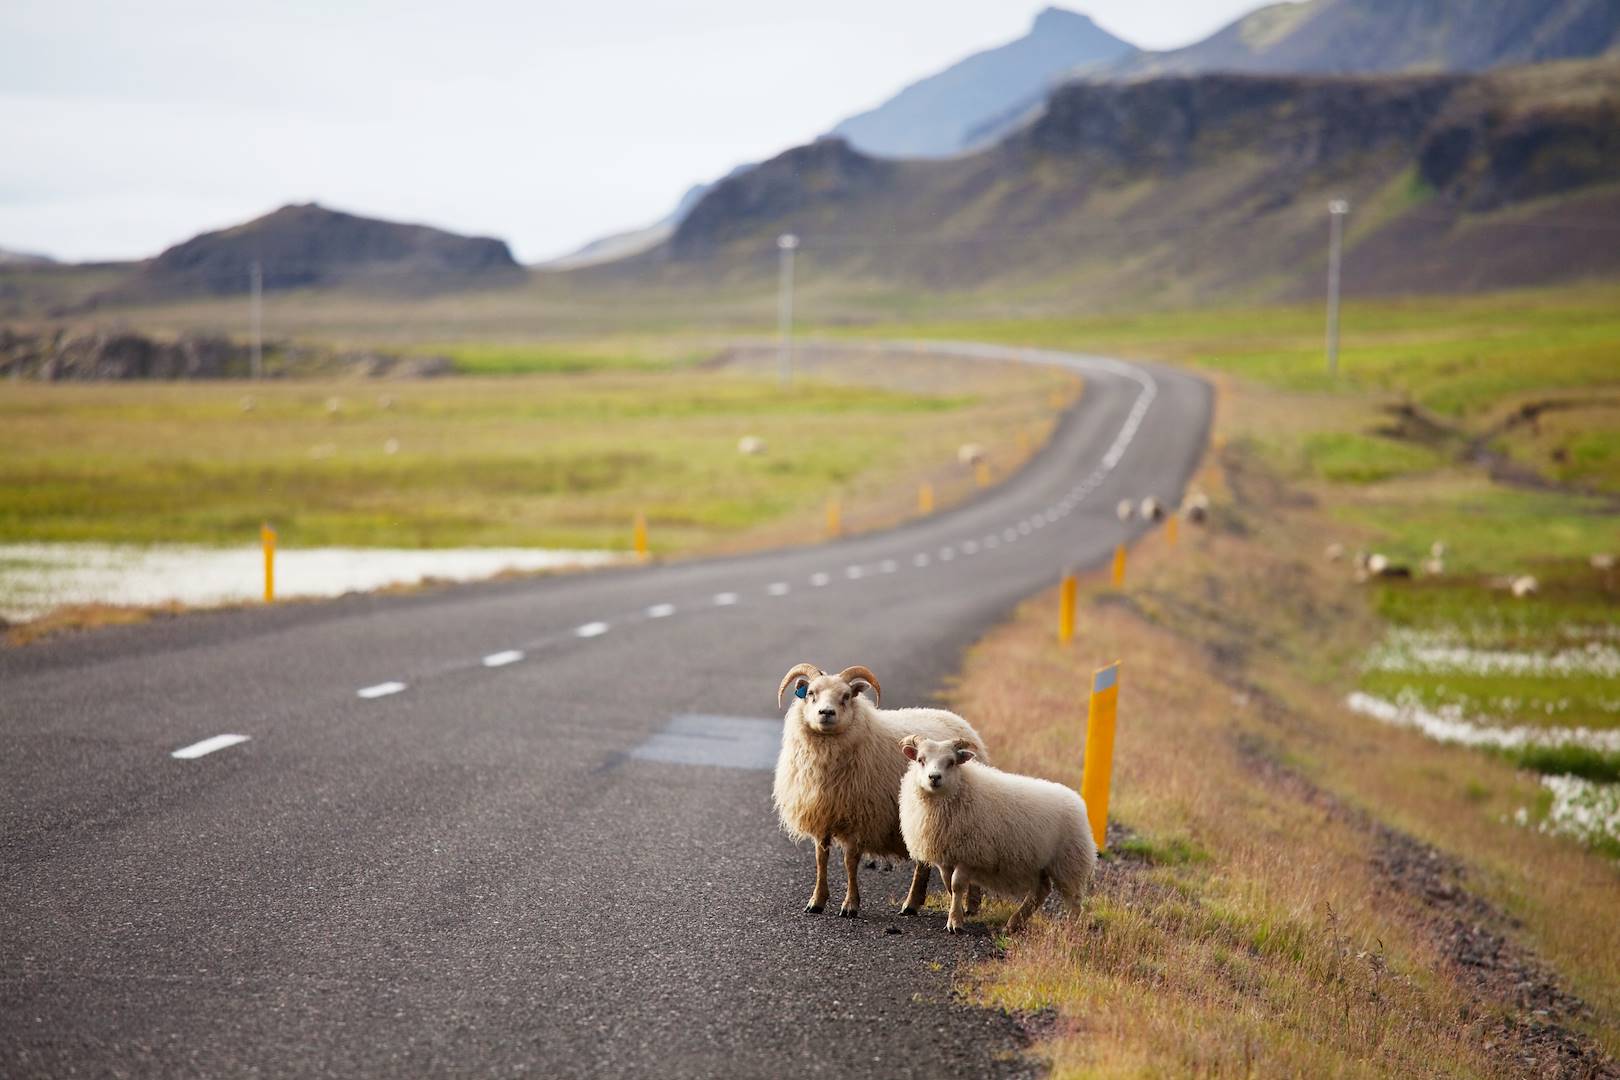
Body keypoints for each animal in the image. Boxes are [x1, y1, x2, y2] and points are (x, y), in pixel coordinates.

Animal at [773, 663, 988, 919]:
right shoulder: (823, 813)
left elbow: (850, 861)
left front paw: (850, 905)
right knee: (923, 861)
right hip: (921, 817)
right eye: (810, 693)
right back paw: (912, 904)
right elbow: (820, 858)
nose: (826, 713)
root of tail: (959, 720)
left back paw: (969, 906)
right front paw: (816, 901)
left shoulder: (858, 816)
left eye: (846, 696)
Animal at [898, 737, 1096, 935]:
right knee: (1041, 891)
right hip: (1040, 864)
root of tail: (1077, 800)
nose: (934, 777)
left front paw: (955, 922)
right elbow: (949, 885)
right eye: (920, 760)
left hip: (1069, 862)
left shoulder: (971, 854)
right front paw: (958, 912)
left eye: (951, 762)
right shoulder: (946, 856)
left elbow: (957, 884)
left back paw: (1070, 930)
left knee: (1073, 901)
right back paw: (1013, 924)